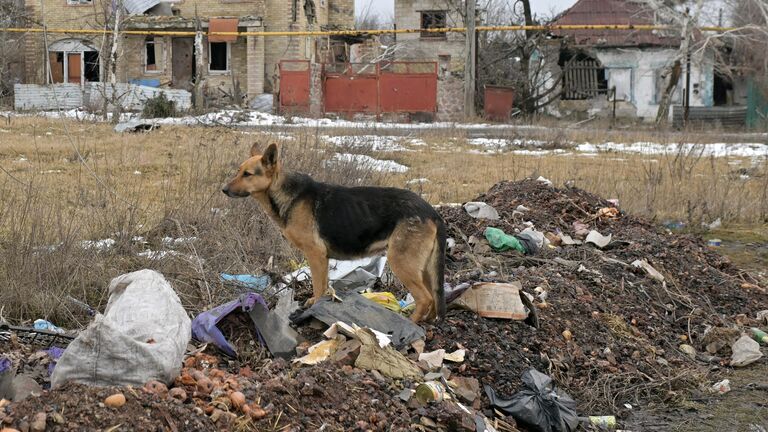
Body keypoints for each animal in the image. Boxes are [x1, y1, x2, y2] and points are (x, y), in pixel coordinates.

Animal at [222, 143, 448, 322]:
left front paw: (314, 306)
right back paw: (427, 320)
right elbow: (322, 285)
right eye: (238, 171)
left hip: (401, 262)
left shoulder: (315, 255)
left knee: (426, 298)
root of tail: (431, 212)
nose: (223, 190)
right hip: (423, 268)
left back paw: (411, 322)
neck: (283, 192)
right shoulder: (322, 259)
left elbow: (318, 285)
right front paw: (317, 302)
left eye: (247, 174)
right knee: (433, 296)